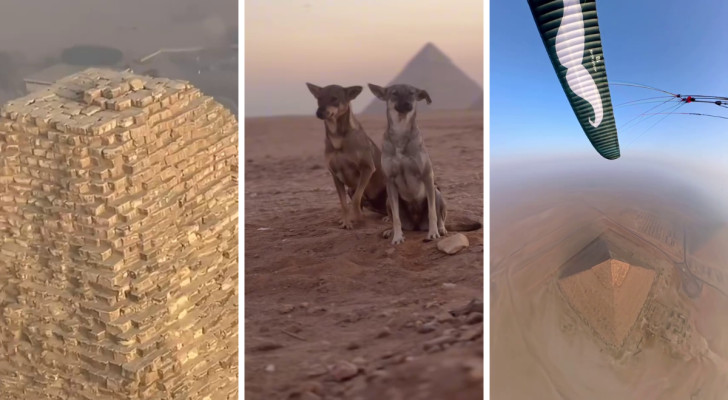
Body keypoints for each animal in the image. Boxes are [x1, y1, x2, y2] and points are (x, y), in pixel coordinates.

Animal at [306, 83, 390, 230]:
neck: (338, 138)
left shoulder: (367, 169)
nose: (319, 112)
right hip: (350, 189)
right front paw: (346, 221)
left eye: (334, 98)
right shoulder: (335, 175)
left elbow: (356, 200)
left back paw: (387, 218)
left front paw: (358, 218)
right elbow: (344, 204)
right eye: (319, 98)